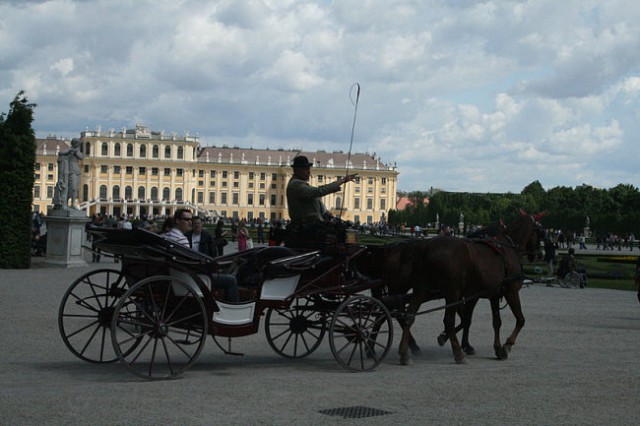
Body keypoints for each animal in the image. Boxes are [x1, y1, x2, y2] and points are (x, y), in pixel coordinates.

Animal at [396, 211, 544, 364]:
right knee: (448, 321)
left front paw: (497, 348)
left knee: (410, 315)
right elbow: (520, 319)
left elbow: (496, 322)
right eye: (541, 232)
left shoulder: (493, 295)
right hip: (452, 292)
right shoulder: (511, 291)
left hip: (423, 289)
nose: (539, 254)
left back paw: (405, 353)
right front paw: (506, 346)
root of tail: (427, 245)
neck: (508, 245)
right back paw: (458, 353)